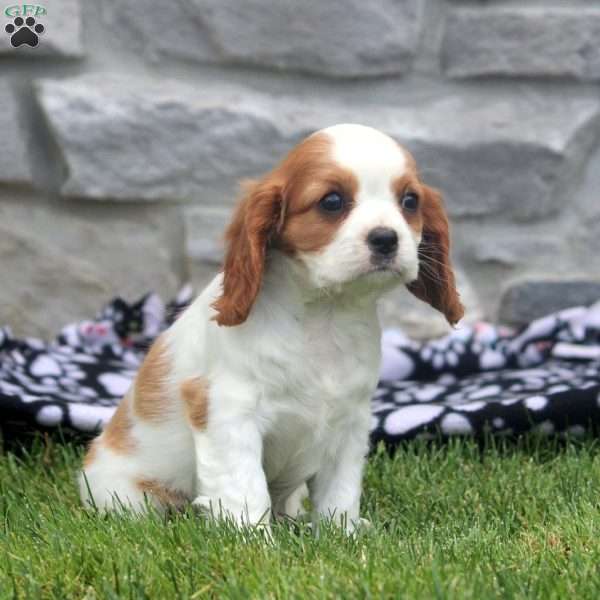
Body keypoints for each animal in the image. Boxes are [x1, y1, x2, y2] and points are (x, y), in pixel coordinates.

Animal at [81, 124, 464, 532]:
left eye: (410, 201)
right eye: (332, 201)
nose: (387, 238)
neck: (324, 313)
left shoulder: (350, 423)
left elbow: (340, 491)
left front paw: (342, 533)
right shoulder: (230, 414)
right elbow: (245, 488)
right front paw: (252, 538)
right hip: (128, 494)